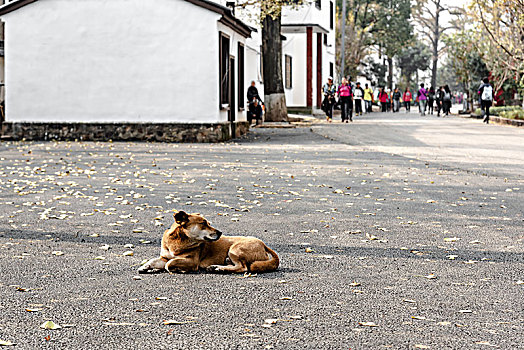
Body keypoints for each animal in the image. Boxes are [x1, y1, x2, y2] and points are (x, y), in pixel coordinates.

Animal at [138, 211, 278, 274]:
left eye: (208, 223)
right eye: (204, 223)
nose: (220, 232)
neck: (179, 241)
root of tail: (263, 245)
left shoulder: (192, 261)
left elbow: (169, 264)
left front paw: (178, 269)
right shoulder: (164, 257)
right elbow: (154, 260)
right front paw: (147, 267)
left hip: (234, 249)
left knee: (243, 267)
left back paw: (219, 268)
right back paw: (217, 267)